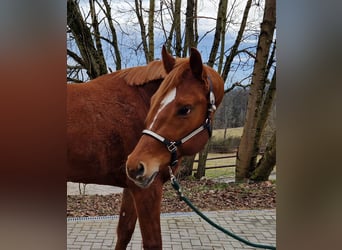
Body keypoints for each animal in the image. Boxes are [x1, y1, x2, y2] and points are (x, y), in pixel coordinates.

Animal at [67, 46, 224, 248]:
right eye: (153, 101)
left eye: (185, 108)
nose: (137, 164)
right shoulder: (147, 189)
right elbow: (152, 242)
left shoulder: (132, 184)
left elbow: (124, 231)